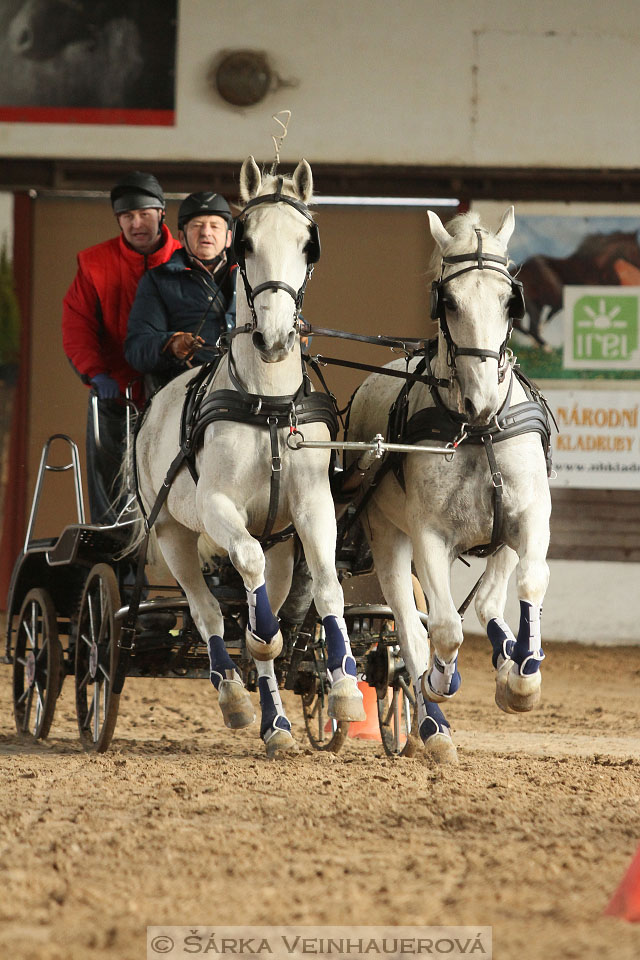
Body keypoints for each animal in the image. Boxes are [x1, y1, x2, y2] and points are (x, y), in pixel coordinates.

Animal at [131, 158, 364, 756]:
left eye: (308, 245)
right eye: (247, 241)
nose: (276, 337)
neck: (269, 403)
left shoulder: (312, 508)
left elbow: (327, 586)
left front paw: (345, 688)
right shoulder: (217, 507)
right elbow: (249, 582)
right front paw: (260, 638)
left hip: (280, 545)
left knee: (270, 599)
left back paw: (276, 724)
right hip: (172, 532)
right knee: (207, 610)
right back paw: (234, 694)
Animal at [348, 208, 552, 764]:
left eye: (509, 299)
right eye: (450, 301)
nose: (480, 400)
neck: (478, 431)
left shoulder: (527, 518)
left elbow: (529, 584)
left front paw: (521, 678)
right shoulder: (428, 536)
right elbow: (441, 628)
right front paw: (439, 684)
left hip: (500, 536)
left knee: (485, 603)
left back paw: (507, 661)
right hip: (388, 539)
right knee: (410, 626)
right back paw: (431, 722)